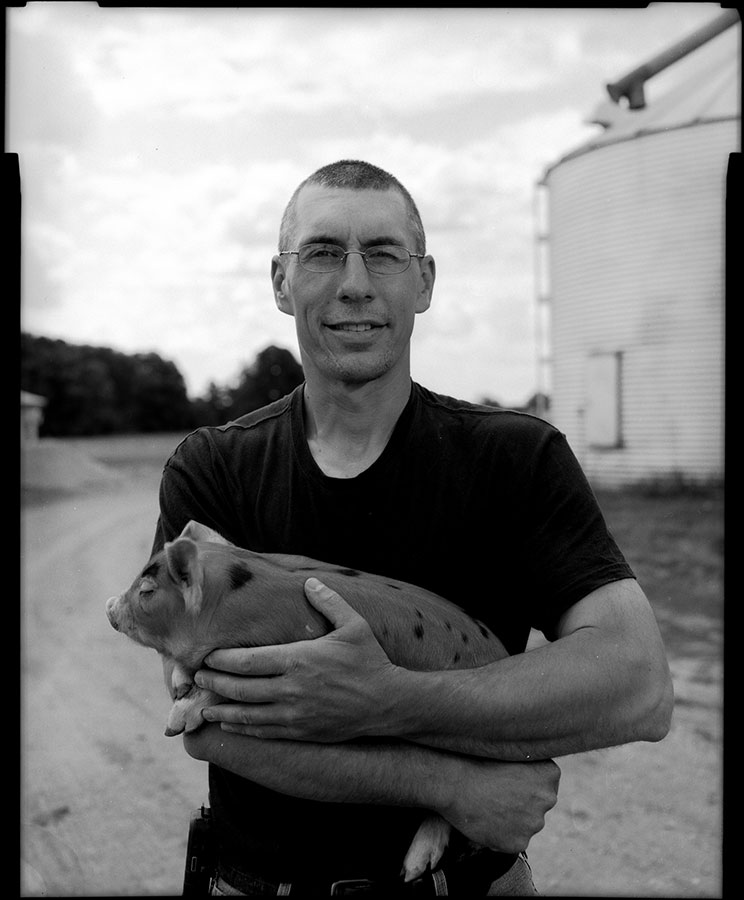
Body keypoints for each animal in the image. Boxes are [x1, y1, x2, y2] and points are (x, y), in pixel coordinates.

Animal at [106, 520, 508, 881]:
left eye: (146, 591)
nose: (109, 606)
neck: (227, 607)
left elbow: (215, 686)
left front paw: (173, 724)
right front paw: (179, 685)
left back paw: (411, 870)